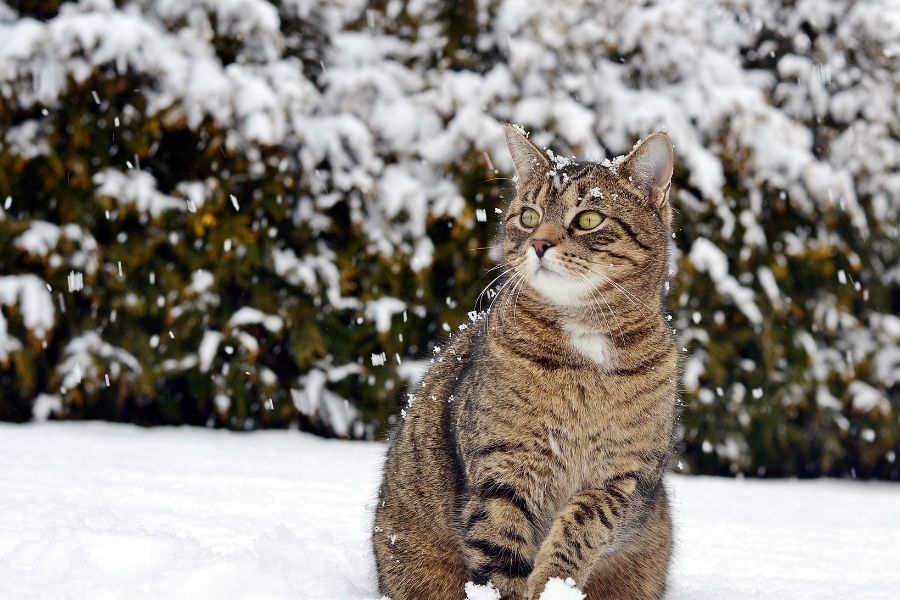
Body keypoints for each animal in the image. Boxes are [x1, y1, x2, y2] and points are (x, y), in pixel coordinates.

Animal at [374, 124, 684, 596]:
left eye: (588, 219)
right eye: (529, 217)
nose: (539, 243)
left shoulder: (626, 476)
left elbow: (584, 522)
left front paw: (555, 582)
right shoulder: (504, 468)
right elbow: (500, 550)